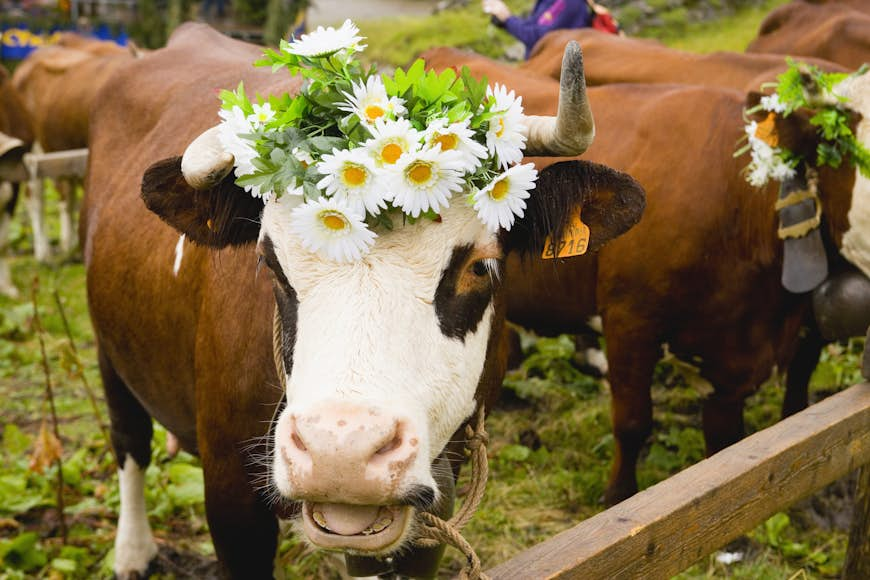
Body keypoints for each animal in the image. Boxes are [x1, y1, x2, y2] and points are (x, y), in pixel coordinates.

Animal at [83, 23, 648, 580]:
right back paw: (132, 552)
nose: (343, 453)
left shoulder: (431, 512)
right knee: (129, 440)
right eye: (269, 262)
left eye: (479, 266)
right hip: (110, 350)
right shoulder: (231, 497)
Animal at [426, 49, 870, 502]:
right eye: (849, 150)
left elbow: (729, 443)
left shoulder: (736, 359)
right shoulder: (630, 319)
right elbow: (633, 422)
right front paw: (618, 495)